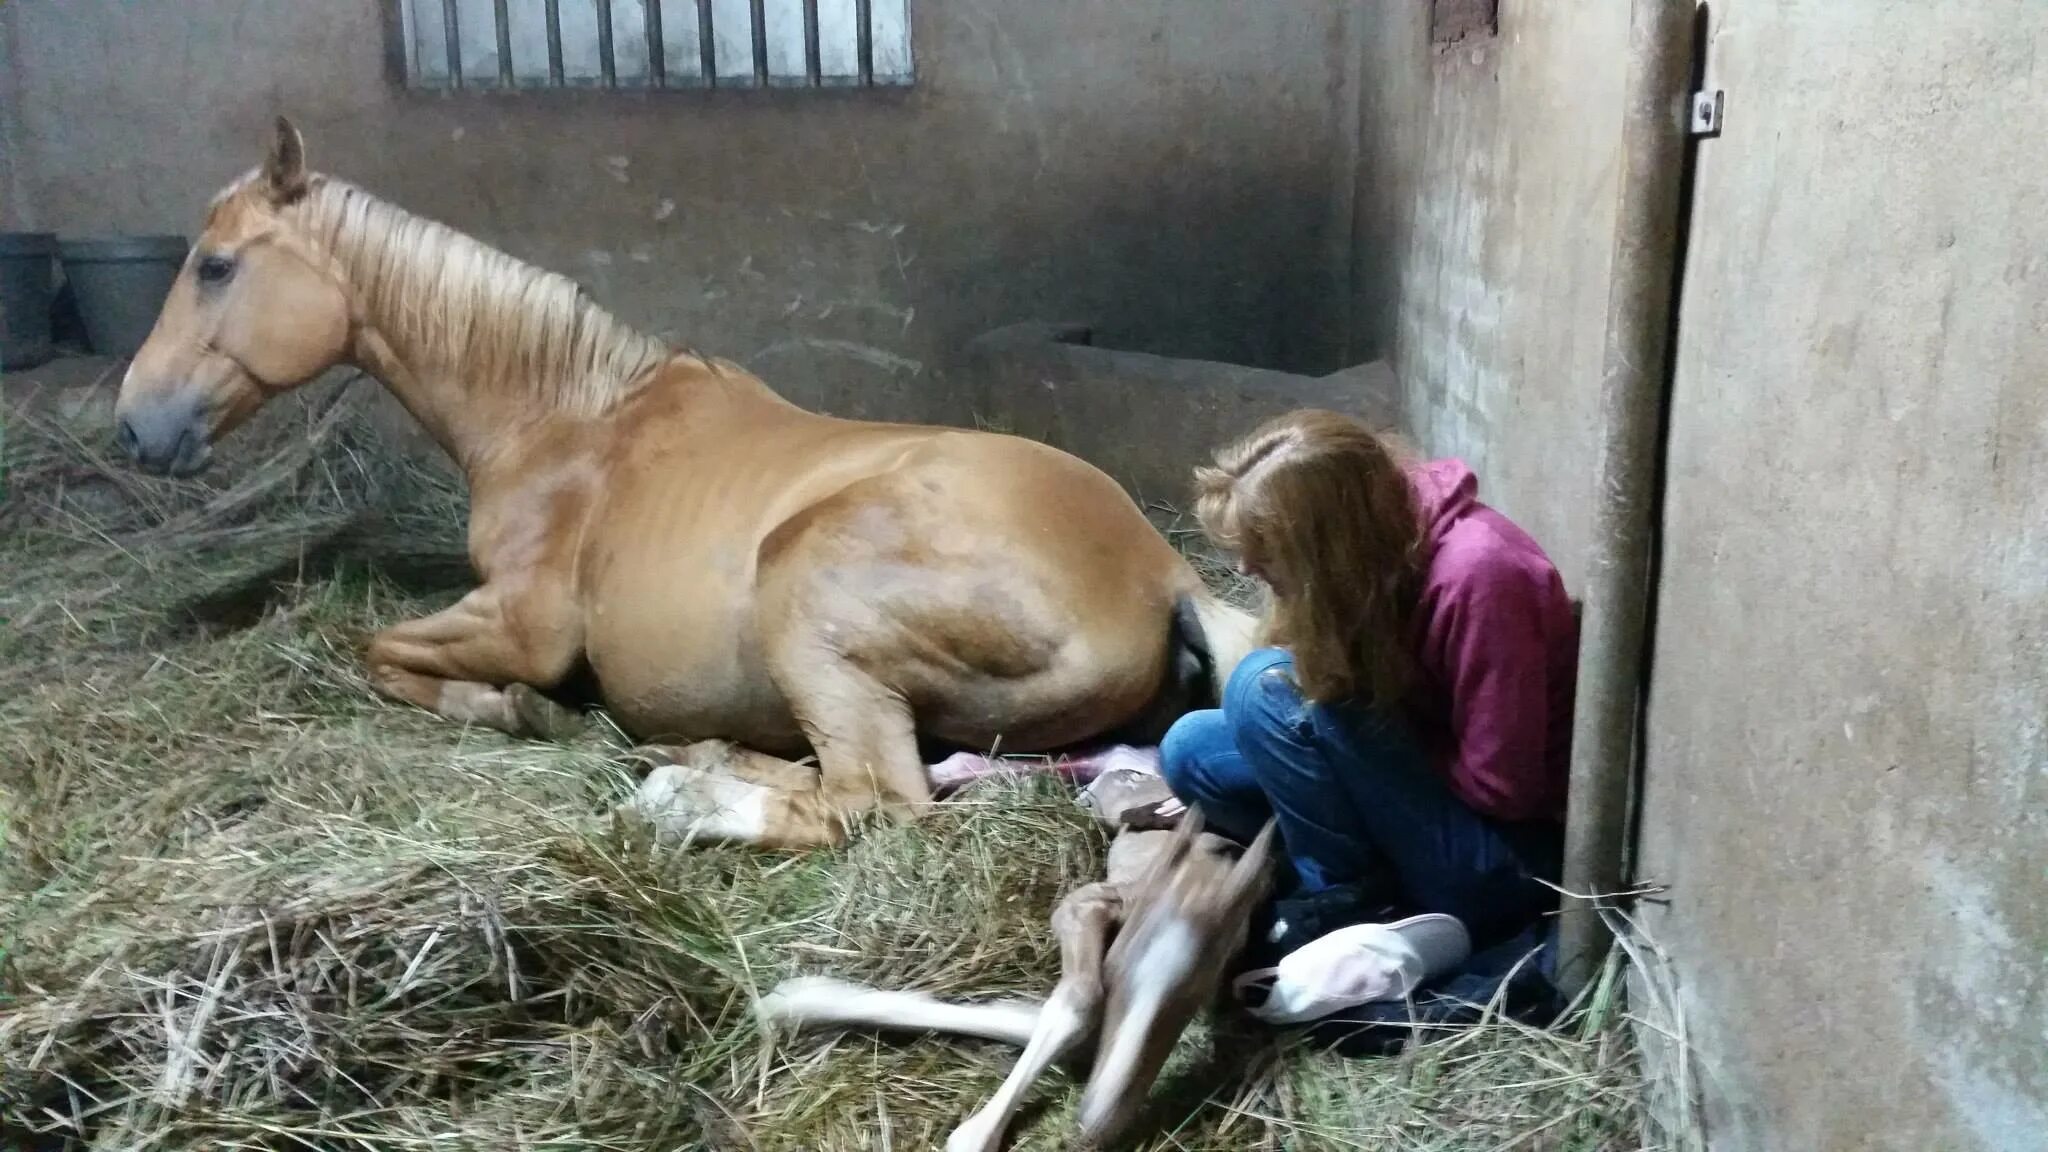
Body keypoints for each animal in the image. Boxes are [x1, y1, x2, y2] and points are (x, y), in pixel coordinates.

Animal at [116, 120, 1261, 848]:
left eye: (214, 265)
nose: (136, 424)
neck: (566, 423)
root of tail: (1158, 573)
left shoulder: (524, 624)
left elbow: (380, 651)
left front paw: (517, 712)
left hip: (807, 599)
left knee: (867, 802)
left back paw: (684, 793)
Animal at [761, 762, 1269, 1147]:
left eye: (1194, 990)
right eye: (1126, 963)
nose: (1097, 1122)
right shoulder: (1087, 906)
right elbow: (1068, 1007)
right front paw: (797, 1001)